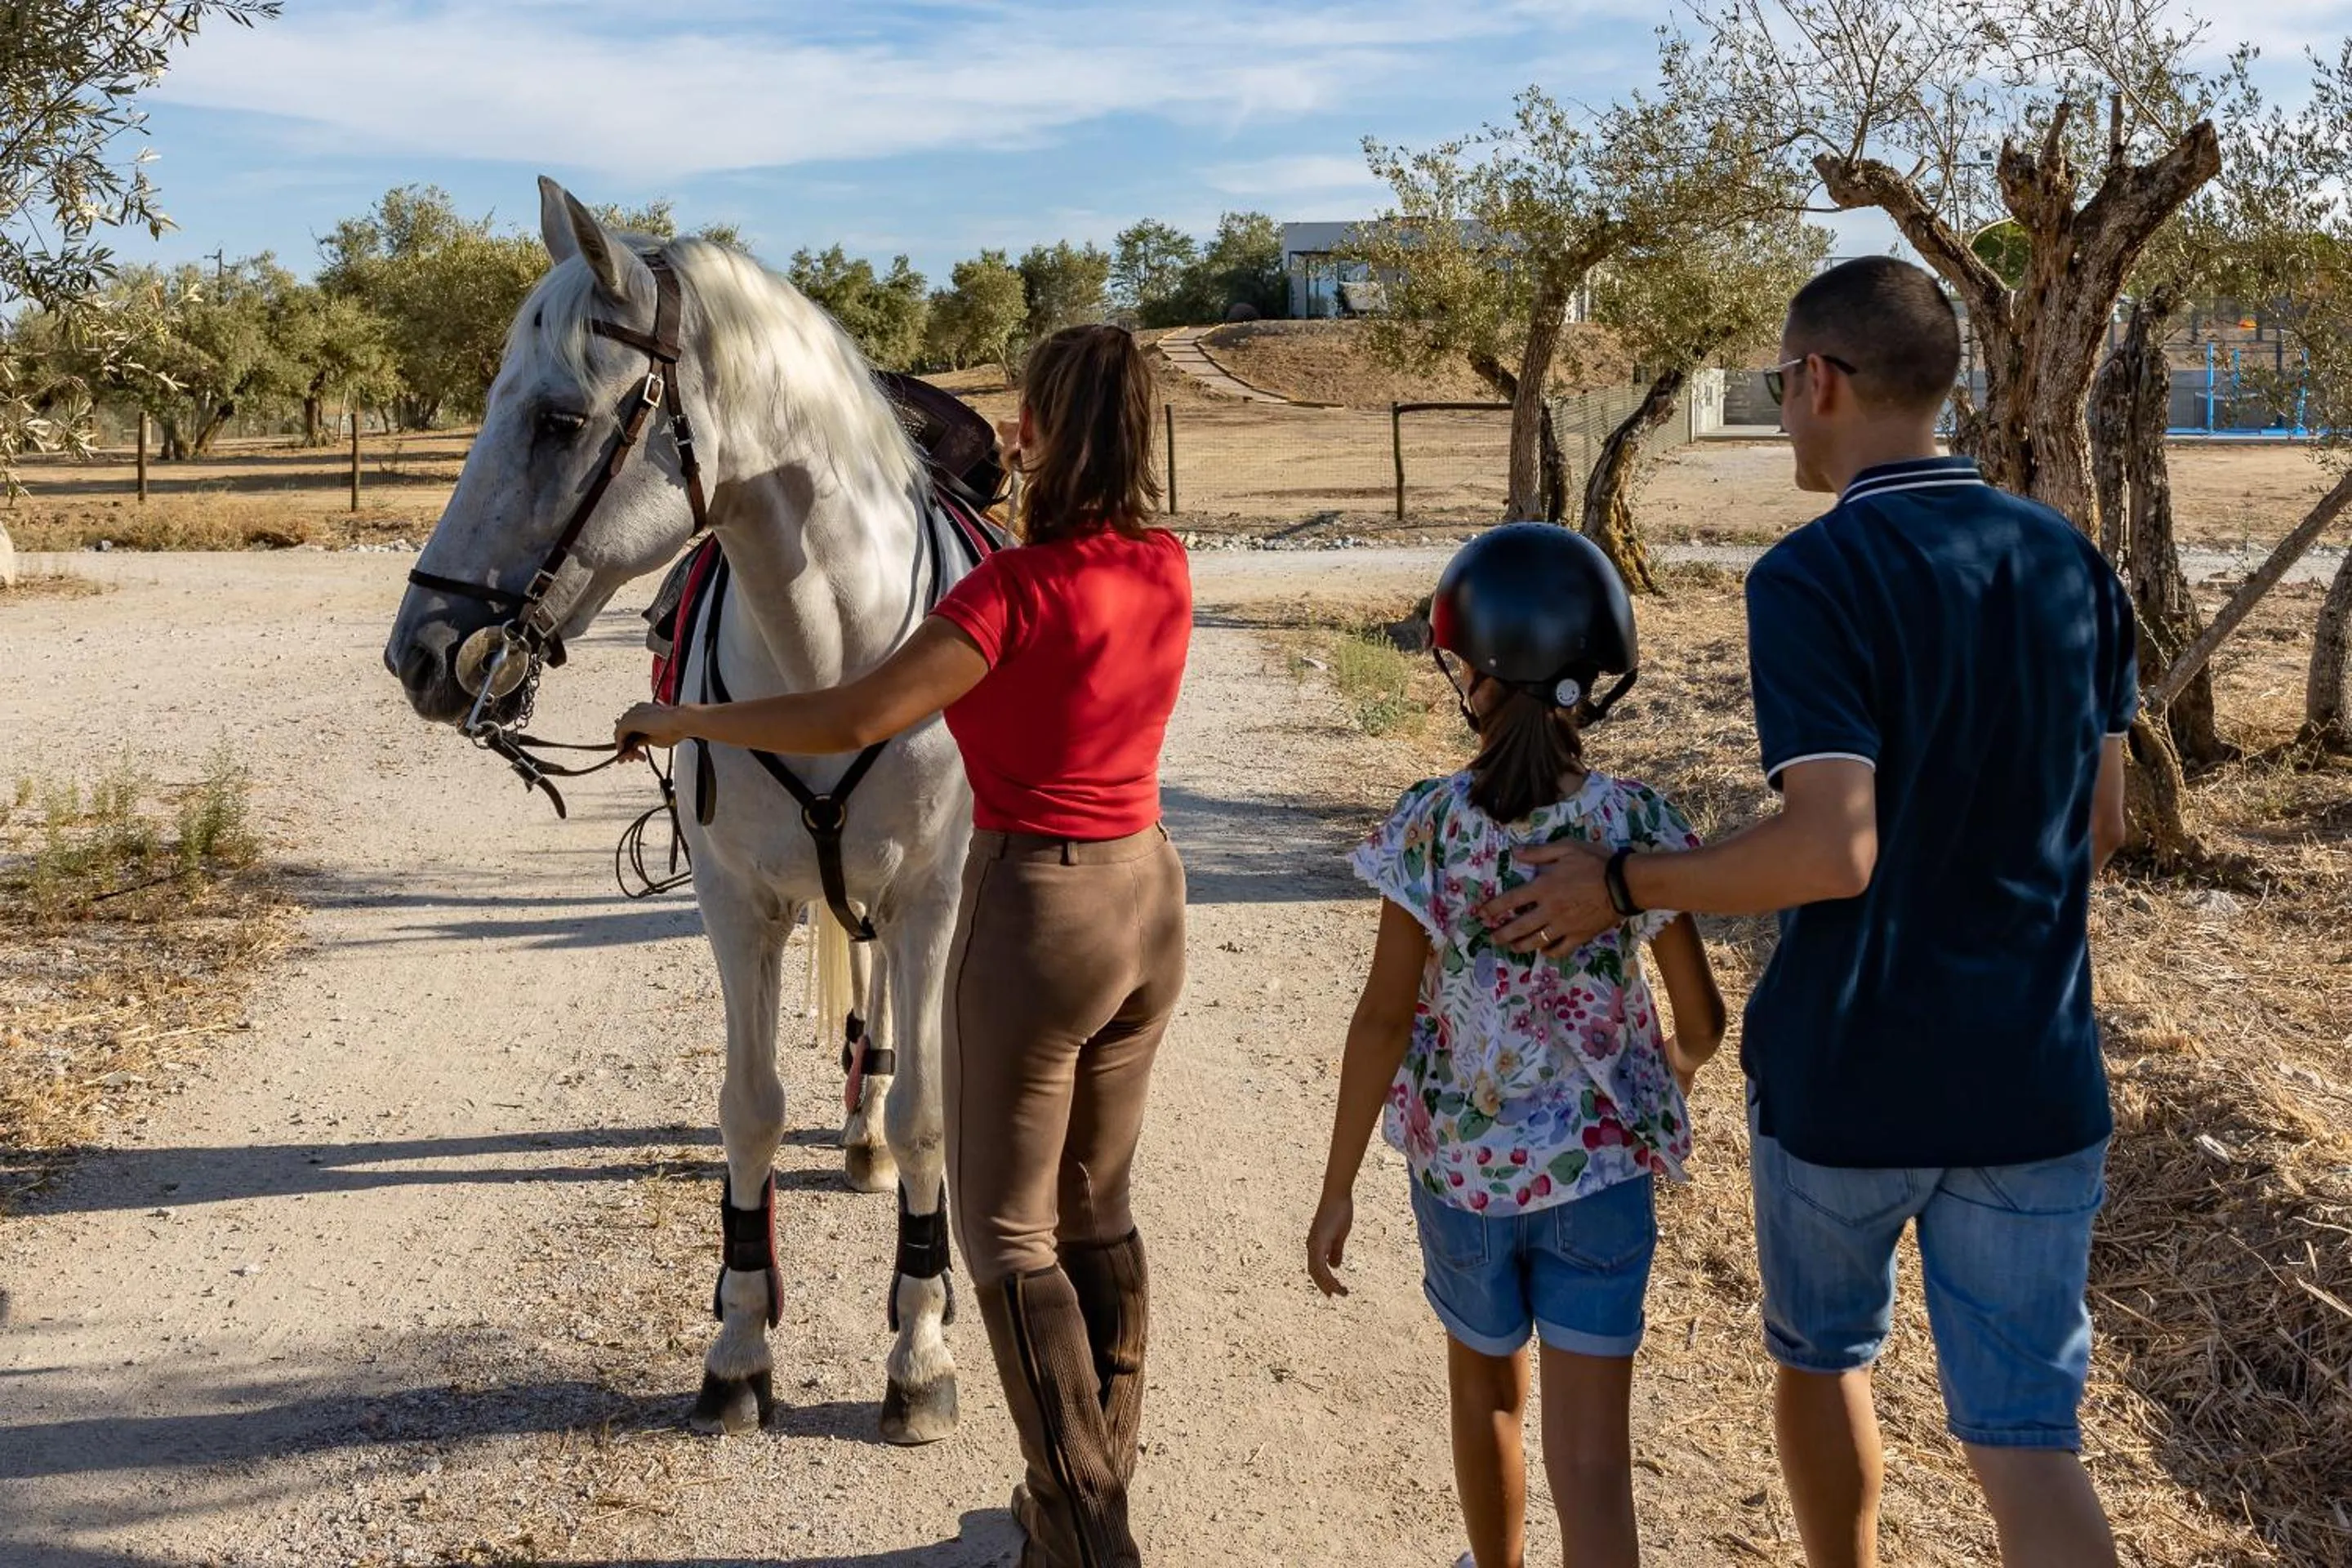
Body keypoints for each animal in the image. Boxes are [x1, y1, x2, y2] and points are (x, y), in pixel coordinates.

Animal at [383, 177, 969, 1444]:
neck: (836, 658)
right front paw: (741, 1344)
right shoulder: (736, 904)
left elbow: (929, 1118)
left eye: (558, 421)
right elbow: (748, 1110)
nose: (421, 653)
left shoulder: (930, 898)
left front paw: (920, 1350)